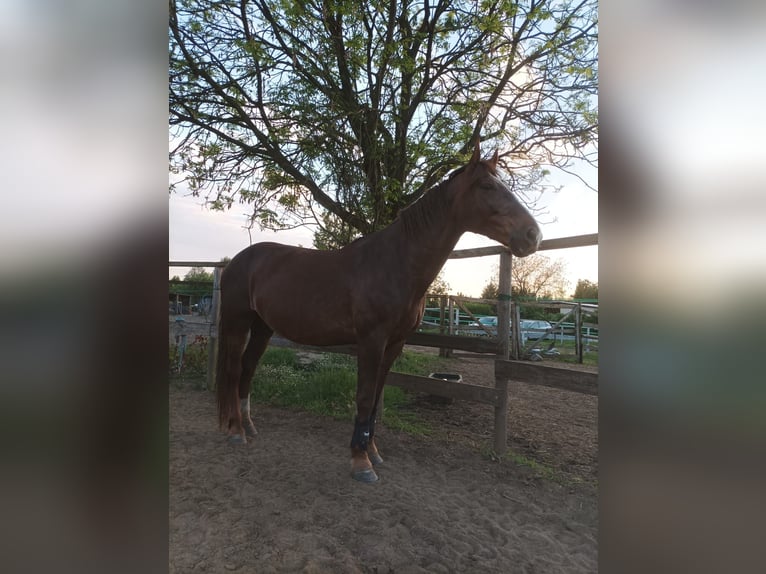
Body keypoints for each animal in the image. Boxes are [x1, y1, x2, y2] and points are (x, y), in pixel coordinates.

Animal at [214, 142, 540, 484]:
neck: (394, 263)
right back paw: (235, 431)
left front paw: (372, 452)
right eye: (487, 186)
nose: (533, 235)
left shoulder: (394, 344)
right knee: (234, 370)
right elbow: (365, 397)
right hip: (238, 322)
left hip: (263, 327)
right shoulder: (371, 341)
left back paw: (248, 425)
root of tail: (238, 260)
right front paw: (361, 463)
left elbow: (375, 400)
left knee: (248, 368)